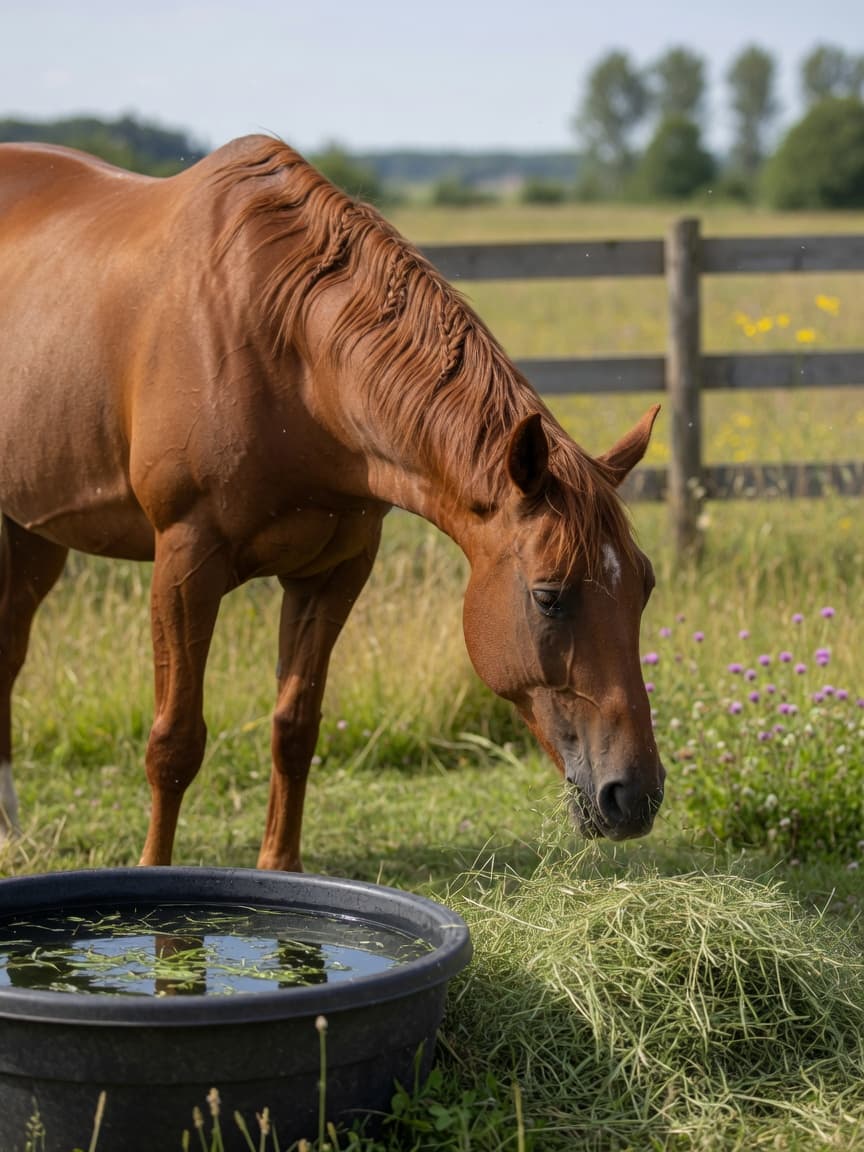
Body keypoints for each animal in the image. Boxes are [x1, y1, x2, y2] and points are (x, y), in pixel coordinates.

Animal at [0, 135, 664, 870]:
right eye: (549, 597)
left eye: (644, 587)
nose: (635, 795)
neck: (288, 356)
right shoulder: (184, 564)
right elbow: (174, 743)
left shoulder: (334, 572)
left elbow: (295, 728)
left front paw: (279, 870)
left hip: (31, 536)